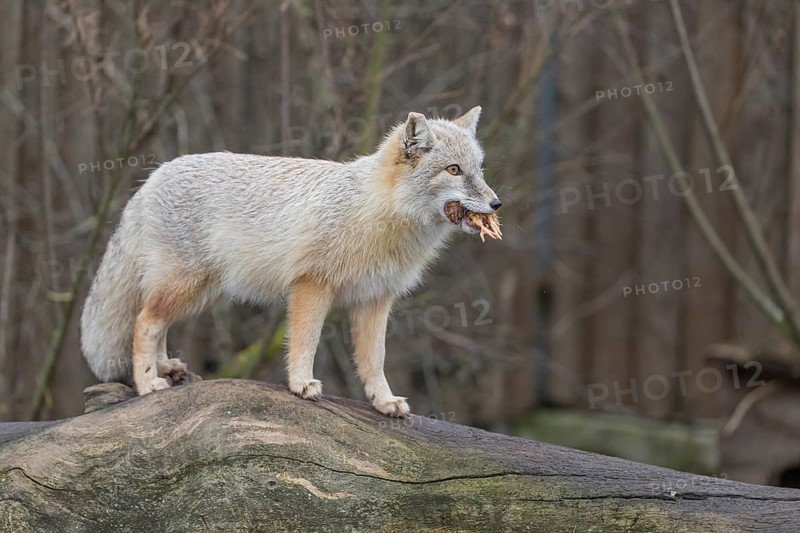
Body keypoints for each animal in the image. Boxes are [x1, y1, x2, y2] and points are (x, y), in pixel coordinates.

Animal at [80, 106, 502, 417]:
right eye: (453, 170)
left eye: (479, 170)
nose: (497, 203)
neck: (375, 215)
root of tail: (154, 175)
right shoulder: (311, 285)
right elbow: (306, 341)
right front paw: (301, 384)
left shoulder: (375, 299)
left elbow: (374, 361)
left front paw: (383, 402)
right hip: (186, 286)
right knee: (144, 322)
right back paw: (147, 382)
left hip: (202, 292)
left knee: (157, 323)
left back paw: (165, 366)